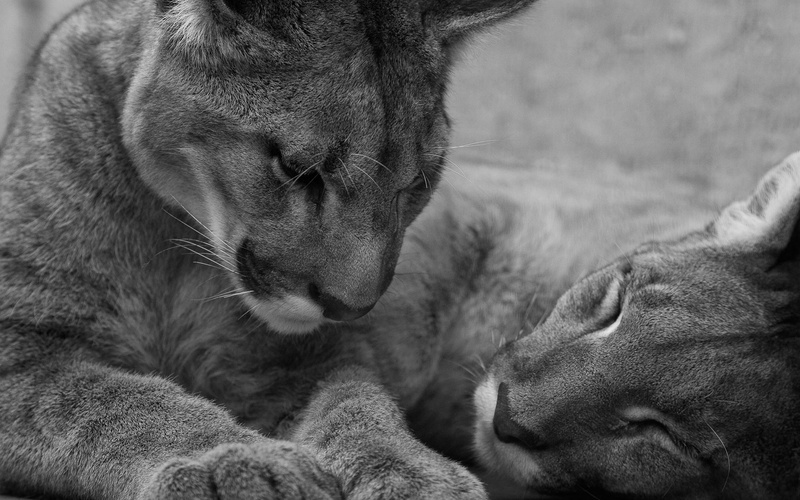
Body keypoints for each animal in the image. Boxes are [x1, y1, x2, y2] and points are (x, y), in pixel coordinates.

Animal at [0, 0, 537, 498]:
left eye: (417, 184)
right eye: (298, 169)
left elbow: (356, 401)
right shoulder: (23, 341)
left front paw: (409, 468)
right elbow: (124, 403)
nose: (352, 307)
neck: (178, 248)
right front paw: (234, 461)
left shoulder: (309, 357)